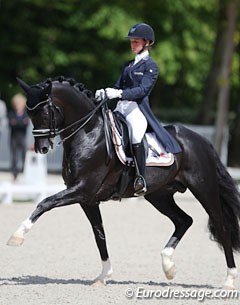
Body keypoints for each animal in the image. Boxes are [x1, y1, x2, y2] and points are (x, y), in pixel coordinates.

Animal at [7, 76, 240, 288]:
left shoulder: (82, 190)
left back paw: (229, 280)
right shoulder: (88, 200)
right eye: (29, 113)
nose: (41, 148)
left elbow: (44, 203)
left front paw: (17, 236)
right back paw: (169, 267)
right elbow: (99, 235)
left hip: (203, 188)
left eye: (45, 112)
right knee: (184, 220)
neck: (89, 133)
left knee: (221, 226)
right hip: (159, 195)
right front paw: (103, 276)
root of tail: (201, 140)